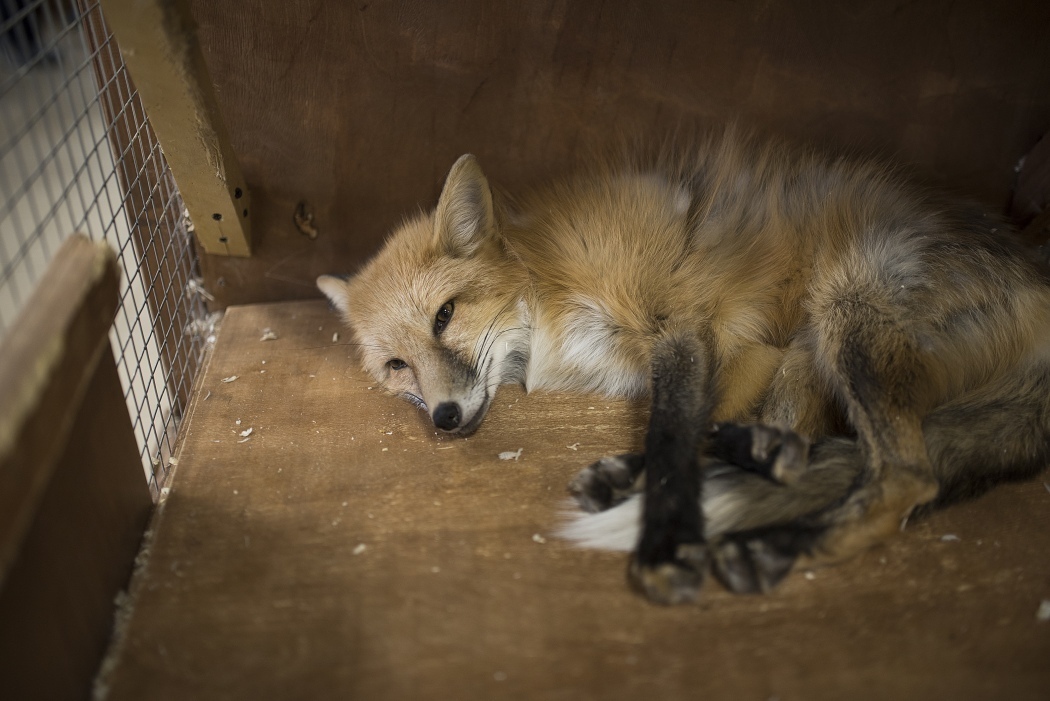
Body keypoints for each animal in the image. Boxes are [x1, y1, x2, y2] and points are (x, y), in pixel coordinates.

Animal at [317, 128, 1050, 604]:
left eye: (444, 316)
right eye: (396, 365)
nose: (444, 417)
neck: (545, 284)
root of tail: (1035, 276)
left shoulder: (684, 327)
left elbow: (671, 433)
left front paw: (664, 546)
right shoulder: (746, 352)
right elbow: (692, 427)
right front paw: (650, 483)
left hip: (848, 308)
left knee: (904, 476)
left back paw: (783, 545)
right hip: (807, 351)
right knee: (799, 447)